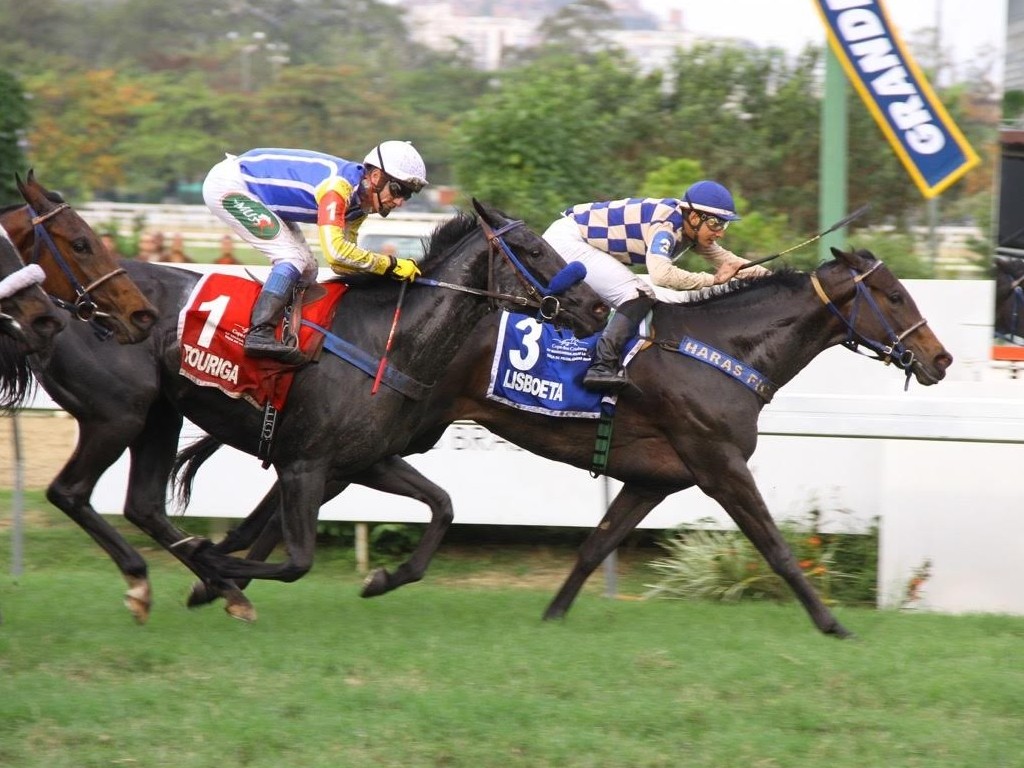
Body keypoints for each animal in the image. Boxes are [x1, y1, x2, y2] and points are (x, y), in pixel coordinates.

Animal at [8, 202, 606, 626]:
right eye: (532, 250)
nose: (598, 306)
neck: (386, 342)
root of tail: (62, 300)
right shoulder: (304, 465)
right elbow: (298, 561)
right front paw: (217, 569)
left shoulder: (363, 462)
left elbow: (442, 506)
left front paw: (382, 578)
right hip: (118, 414)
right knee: (71, 492)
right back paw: (167, 578)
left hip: (159, 415)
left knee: (143, 505)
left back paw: (197, 577)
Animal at [178, 249, 950, 638]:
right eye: (896, 296)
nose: (940, 359)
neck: (724, 349)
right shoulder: (717, 462)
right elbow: (776, 546)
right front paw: (831, 623)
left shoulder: (654, 478)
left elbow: (596, 544)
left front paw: (553, 614)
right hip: (384, 432)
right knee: (285, 493)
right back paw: (218, 576)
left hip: (388, 435)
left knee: (280, 497)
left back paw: (215, 579)